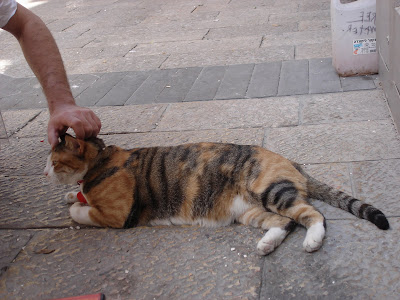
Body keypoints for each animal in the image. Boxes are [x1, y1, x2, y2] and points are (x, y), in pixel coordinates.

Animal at [44, 135, 390, 254]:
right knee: (285, 223)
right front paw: (71, 195)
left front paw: (75, 205)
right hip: (250, 211)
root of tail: (293, 162)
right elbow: (78, 197)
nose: (44, 172)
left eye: (53, 160)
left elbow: (82, 210)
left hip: (272, 191)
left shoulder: (116, 215)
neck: (100, 159)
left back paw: (313, 241)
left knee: (312, 215)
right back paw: (266, 244)